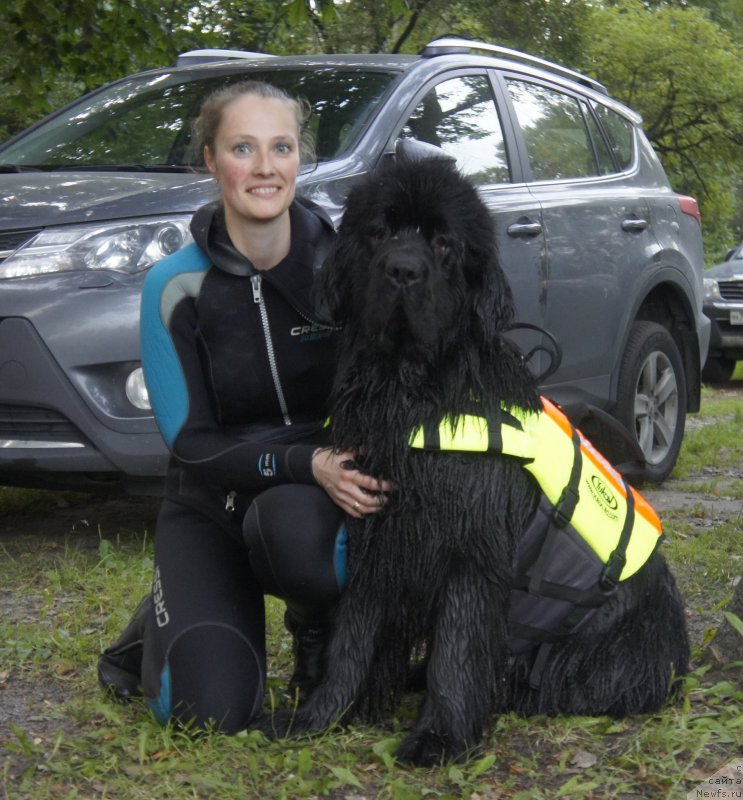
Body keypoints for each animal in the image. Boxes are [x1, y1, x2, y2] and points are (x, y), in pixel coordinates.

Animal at [264, 155, 692, 764]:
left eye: (444, 243)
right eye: (379, 233)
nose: (402, 271)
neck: (414, 390)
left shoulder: (470, 545)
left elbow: (457, 649)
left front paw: (439, 736)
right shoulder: (379, 533)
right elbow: (353, 635)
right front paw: (320, 716)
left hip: (586, 657)